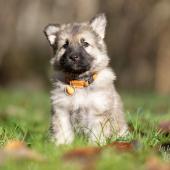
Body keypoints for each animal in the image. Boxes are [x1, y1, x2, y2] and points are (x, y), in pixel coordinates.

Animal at [43, 13, 128, 145]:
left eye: (85, 44)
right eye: (65, 45)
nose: (73, 57)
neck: (79, 82)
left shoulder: (98, 112)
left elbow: (96, 134)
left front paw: (95, 145)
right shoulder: (62, 110)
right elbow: (63, 131)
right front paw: (62, 145)